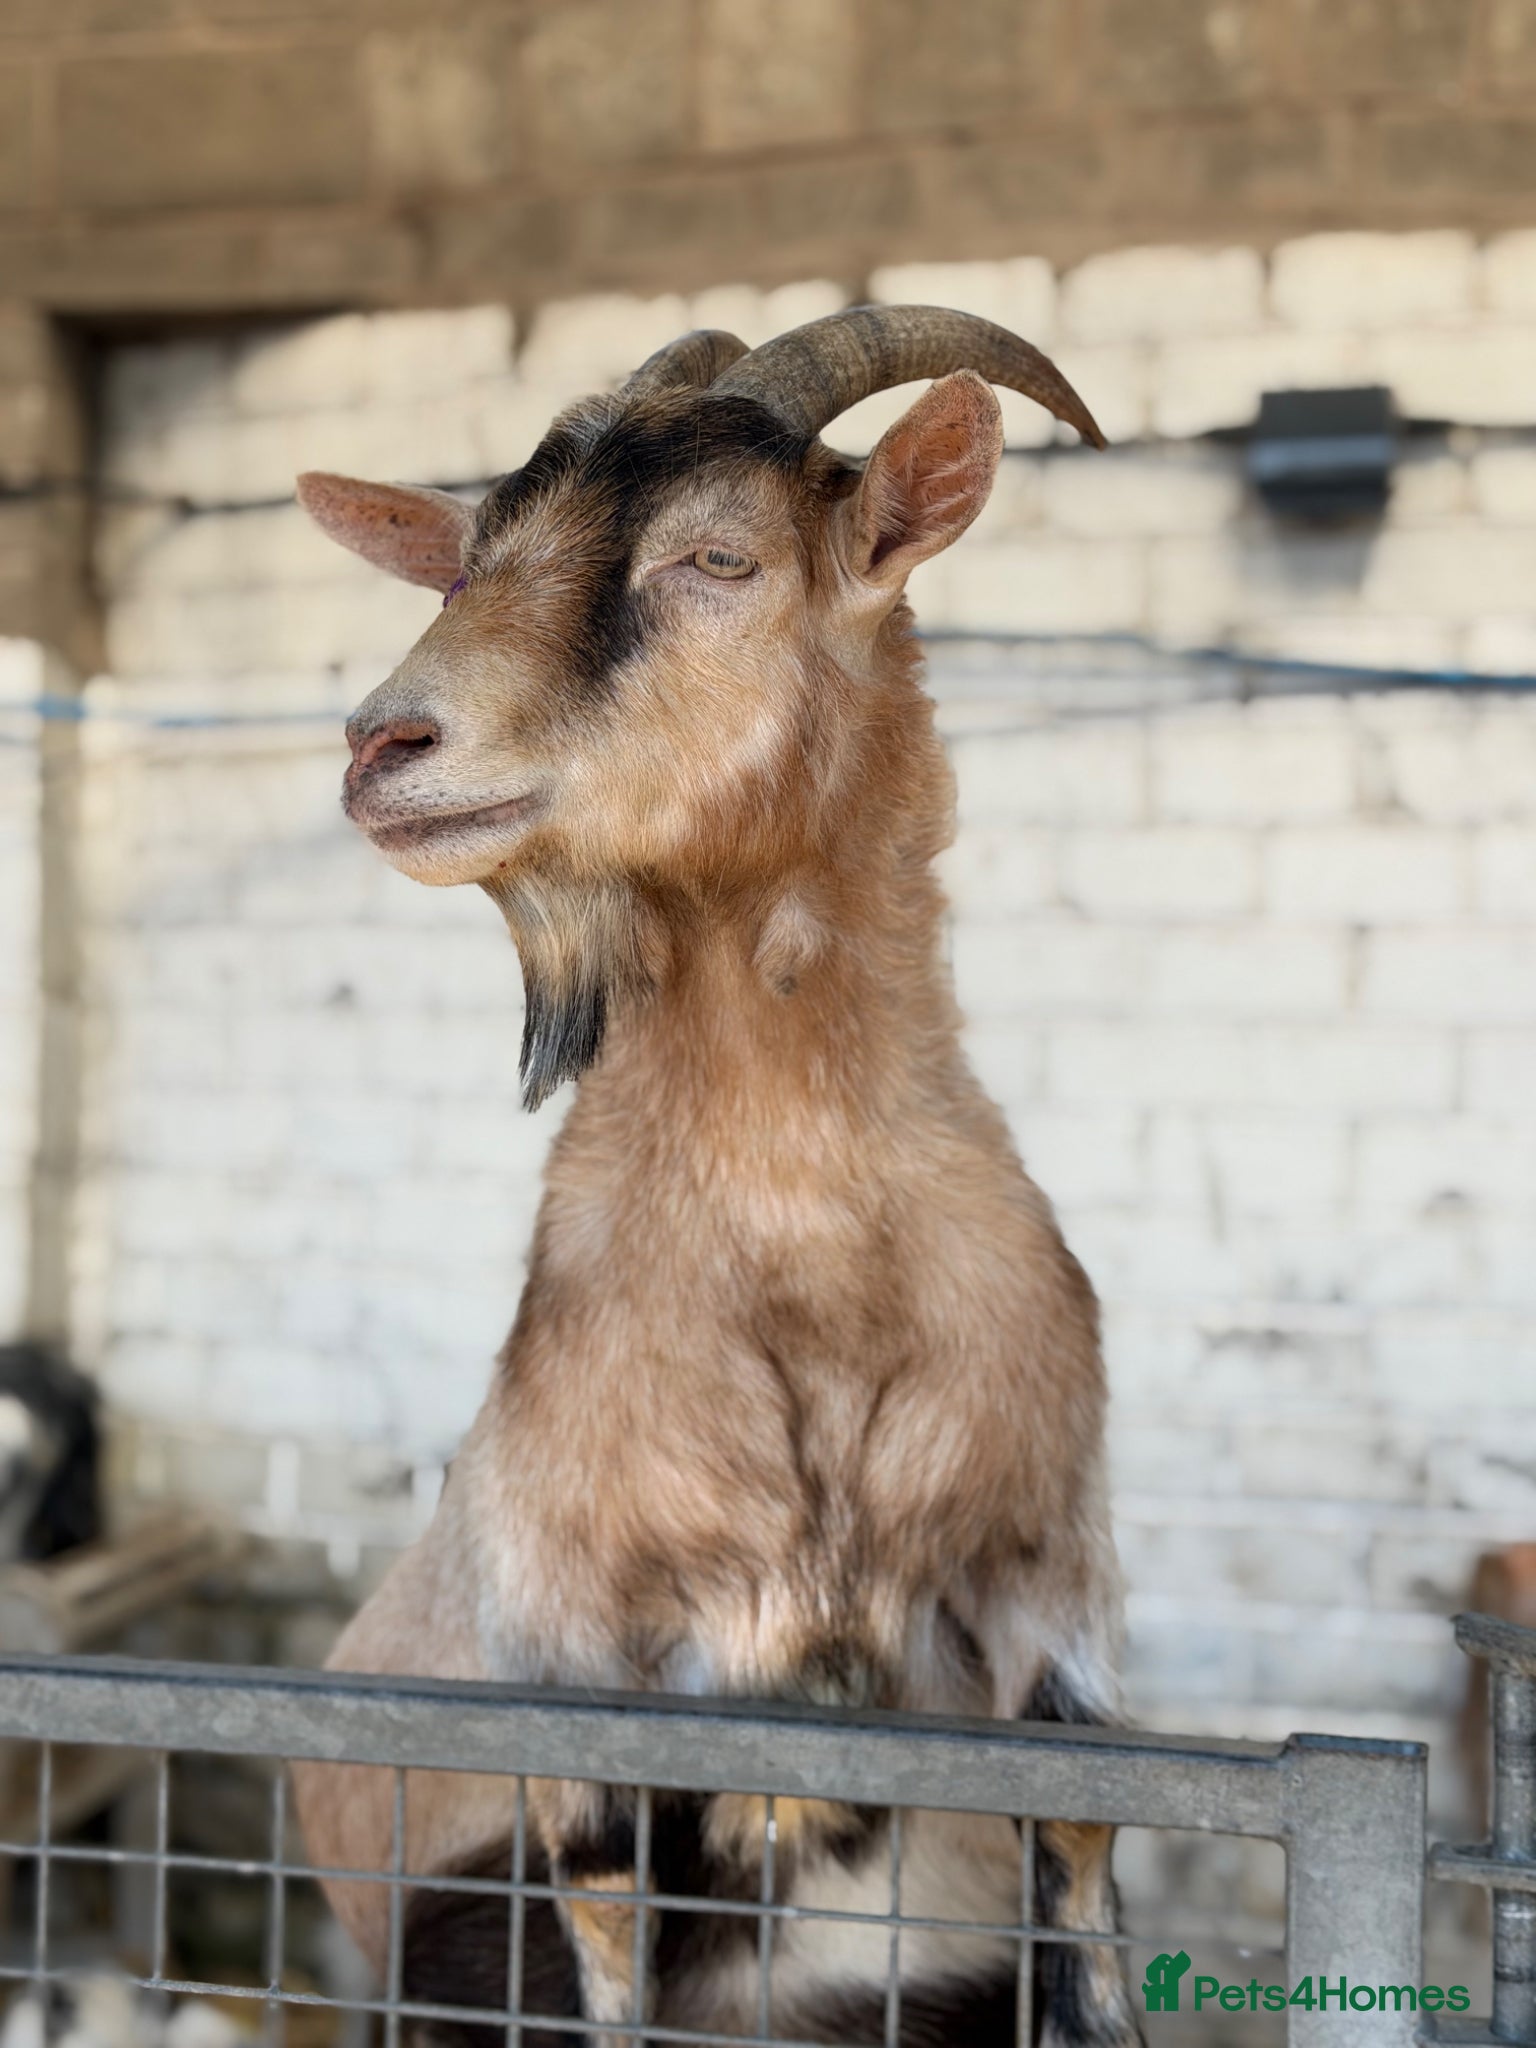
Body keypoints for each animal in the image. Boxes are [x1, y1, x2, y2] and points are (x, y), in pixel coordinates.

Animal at [290, 305, 1142, 2047]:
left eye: (717, 555)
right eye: (467, 561)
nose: (385, 743)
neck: (800, 1265)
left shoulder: (1049, 1571)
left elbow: (1086, 1874)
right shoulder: (573, 1642)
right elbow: (604, 1914)